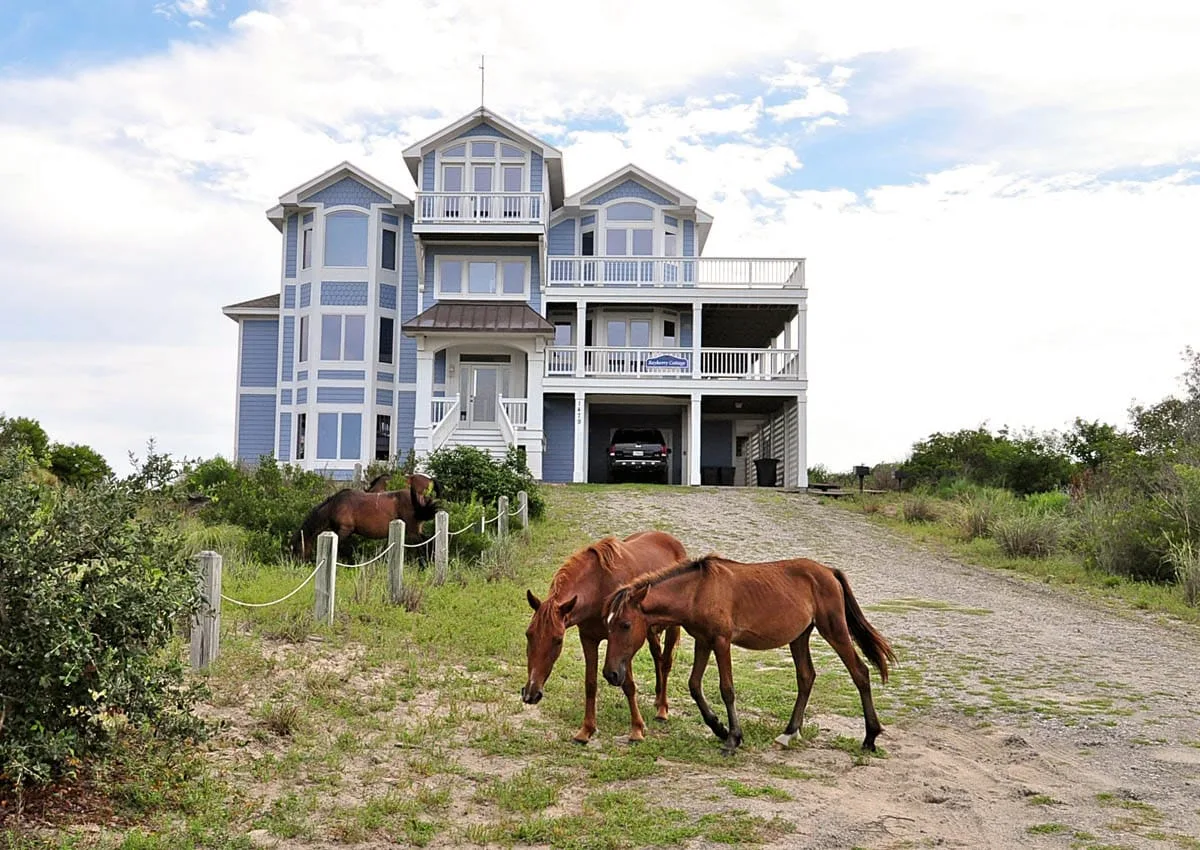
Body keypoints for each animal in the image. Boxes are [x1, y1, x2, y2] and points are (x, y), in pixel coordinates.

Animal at [290, 473, 441, 562]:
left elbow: (341, 548)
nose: (297, 564)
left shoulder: (345, 530)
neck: (335, 505)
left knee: (424, 545)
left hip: (413, 533)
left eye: (297, 548)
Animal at [522, 531, 686, 744]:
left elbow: (628, 685)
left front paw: (637, 729)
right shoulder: (588, 639)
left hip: (672, 627)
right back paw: (658, 699)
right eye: (528, 635)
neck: (599, 587)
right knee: (657, 656)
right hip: (649, 631)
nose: (530, 694)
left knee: (665, 663)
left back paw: (662, 709)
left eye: (558, 640)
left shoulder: (623, 642)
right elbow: (590, 684)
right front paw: (586, 730)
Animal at [601, 553, 896, 756]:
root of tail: (829, 572)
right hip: (800, 637)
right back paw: (789, 733)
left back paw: (870, 737)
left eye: (625, 625)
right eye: (608, 624)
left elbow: (727, 689)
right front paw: (718, 728)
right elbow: (694, 685)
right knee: (806, 677)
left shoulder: (721, 642)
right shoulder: (703, 642)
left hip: (833, 630)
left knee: (860, 673)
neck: (698, 591)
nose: (611, 673)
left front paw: (733, 738)